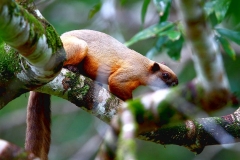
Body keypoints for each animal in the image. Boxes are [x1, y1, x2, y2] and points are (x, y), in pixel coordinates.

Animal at [24, 29, 178, 159]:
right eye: (165, 76)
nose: (175, 84)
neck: (145, 68)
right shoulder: (130, 73)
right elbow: (116, 83)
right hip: (77, 47)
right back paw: (71, 68)